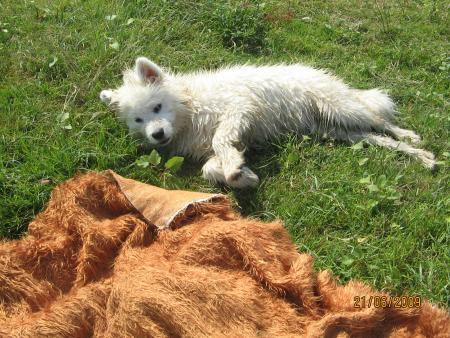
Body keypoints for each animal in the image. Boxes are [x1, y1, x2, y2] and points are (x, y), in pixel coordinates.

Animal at [99, 55, 436, 187]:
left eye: (157, 107)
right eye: (138, 120)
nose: (156, 135)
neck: (191, 108)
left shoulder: (238, 110)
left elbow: (221, 140)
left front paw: (234, 169)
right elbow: (211, 167)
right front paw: (240, 174)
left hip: (342, 109)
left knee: (381, 121)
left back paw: (414, 140)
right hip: (339, 131)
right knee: (379, 139)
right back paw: (420, 156)